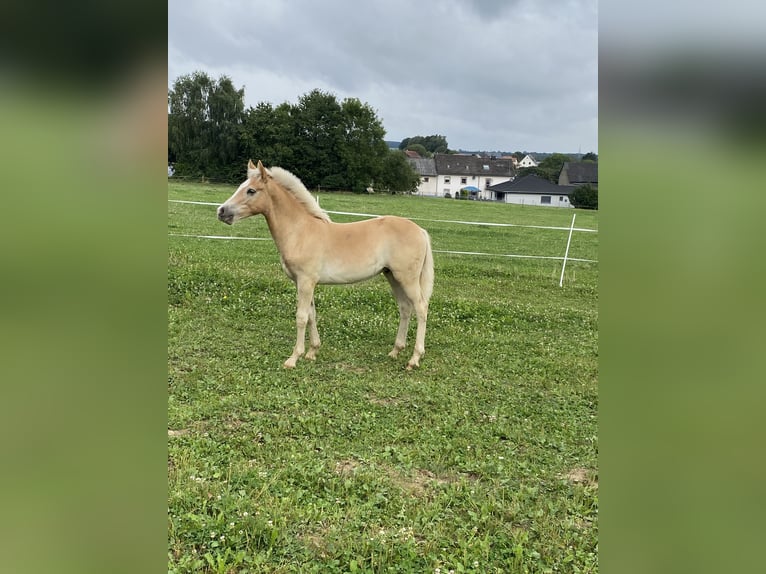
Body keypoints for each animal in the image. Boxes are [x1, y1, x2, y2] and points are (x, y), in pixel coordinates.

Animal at [219, 160, 436, 372]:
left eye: (251, 190)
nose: (221, 211)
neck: (300, 231)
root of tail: (420, 231)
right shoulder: (303, 282)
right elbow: (312, 315)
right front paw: (312, 352)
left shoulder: (306, 281)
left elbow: (301, 317)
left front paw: (293, 358)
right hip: (392, 276)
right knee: (405, 308)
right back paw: (395, 351)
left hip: (407, 278)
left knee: (421, 308)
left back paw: (414, 359)